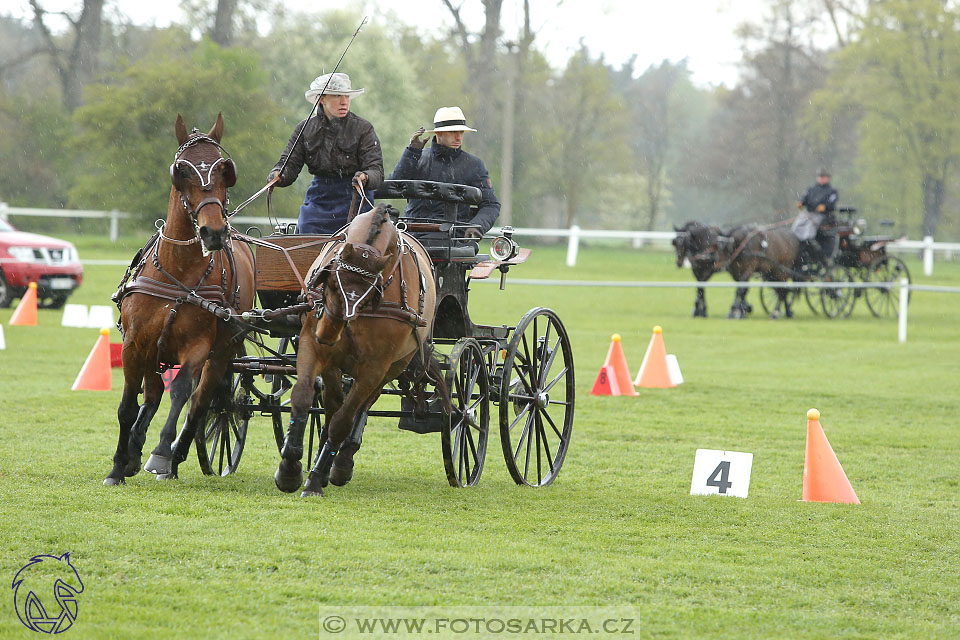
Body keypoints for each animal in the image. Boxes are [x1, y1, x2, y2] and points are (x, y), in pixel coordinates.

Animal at [104, 114, 255, 484]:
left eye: (224, 171)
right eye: (182, 170)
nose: (214, 232)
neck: (178, 272)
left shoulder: (198, 346)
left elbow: (183, 391)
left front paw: (161, 453)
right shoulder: (134, 344)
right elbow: (129, 405)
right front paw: (118, 466)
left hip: (222, 352)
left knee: (203, 401)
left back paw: (174, 454)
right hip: (154, 349)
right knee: (154, 394)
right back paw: (135, 450)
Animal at [274, 204, 446, 496]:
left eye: (368, 293)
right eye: (331, 282)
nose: (328, 334)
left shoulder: (374, 368)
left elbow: (343, 421)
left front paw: (315, 479)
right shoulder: (314, 346)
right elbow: (304, 397)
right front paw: (289, 467)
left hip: (393, 367)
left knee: (360, 407)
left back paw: (340, 462)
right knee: (333, 405)